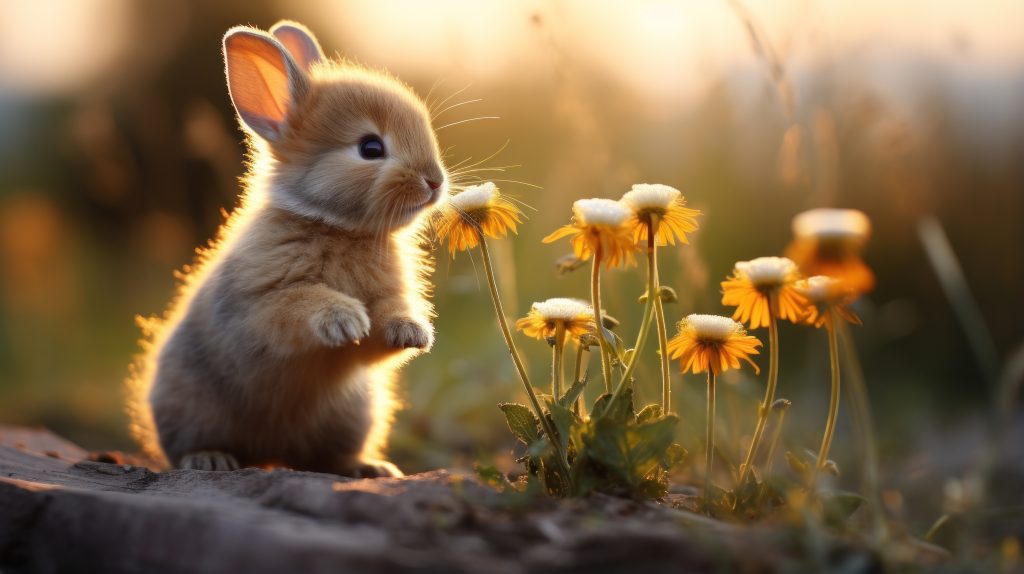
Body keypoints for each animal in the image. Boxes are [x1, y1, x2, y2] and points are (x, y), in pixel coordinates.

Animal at [126, 21, 446, 477]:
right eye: (370, 148)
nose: (435, 181)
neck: (335, 225)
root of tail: (270, 453)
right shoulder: (260, 304)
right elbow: (297, 304)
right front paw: (344, 320)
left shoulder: (384, 305)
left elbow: (383, 326)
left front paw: (412, 333)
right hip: (189, 404)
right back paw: (210, 460)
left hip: (353, 413)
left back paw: (369, 468)